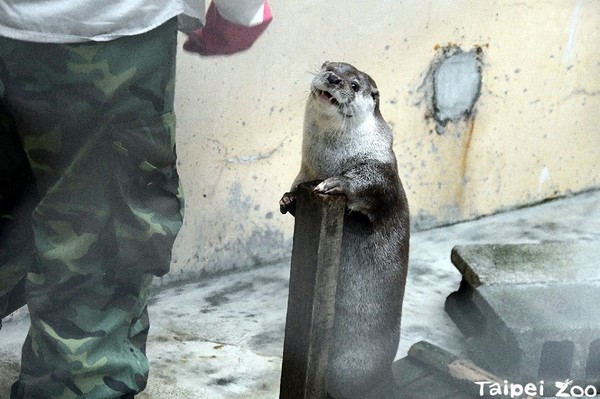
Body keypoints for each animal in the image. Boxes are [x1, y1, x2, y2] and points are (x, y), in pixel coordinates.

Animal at [278, 61, 410, 398]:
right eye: (329, 65)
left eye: (354, 85)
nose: (334, 78)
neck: (329, 161)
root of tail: (385, 374)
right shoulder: (305, 173)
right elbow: (296, 191)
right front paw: (289, 198)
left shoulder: (381, 170)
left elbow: (369, 186)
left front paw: (337, 183)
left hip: (354, 364)